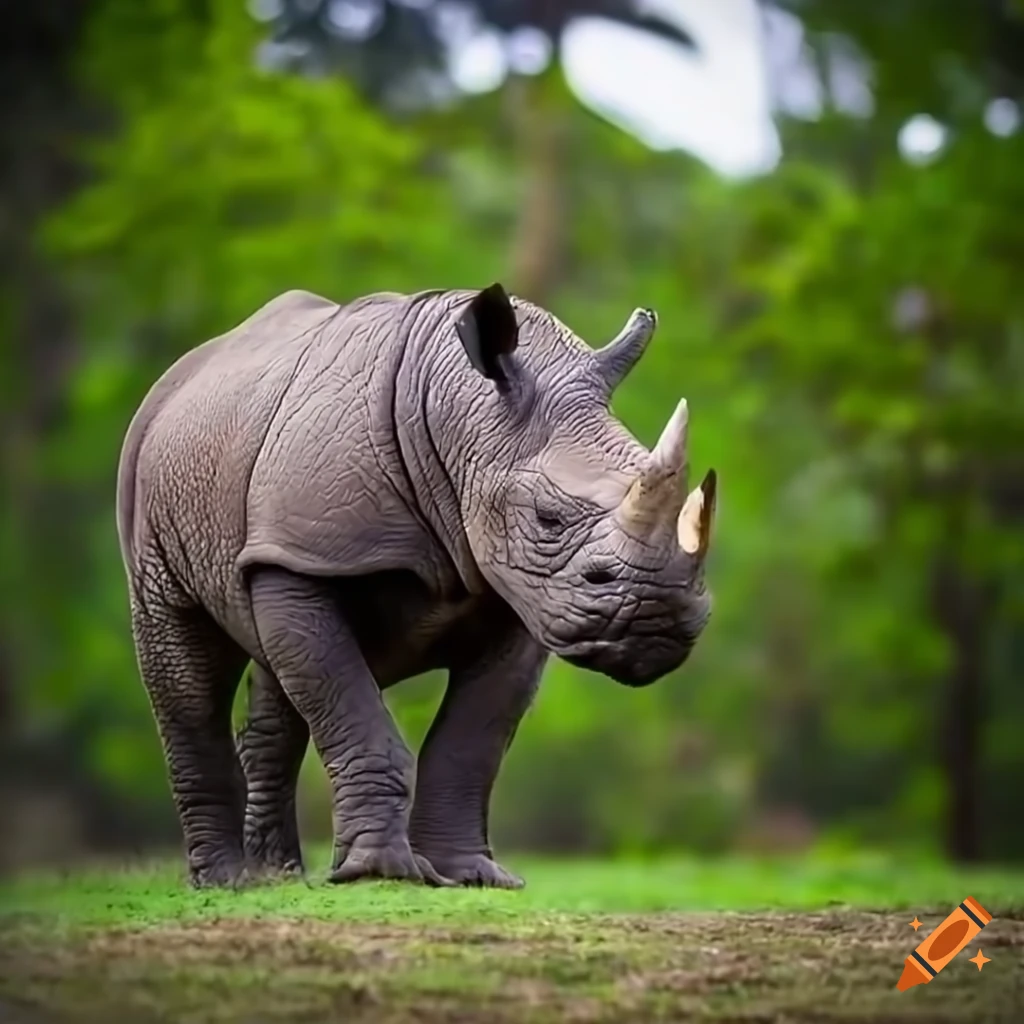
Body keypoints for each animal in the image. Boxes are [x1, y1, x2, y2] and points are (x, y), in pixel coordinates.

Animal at [116, 283, 717, 890]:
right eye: (547, 519)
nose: (655, 623)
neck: (459, 411)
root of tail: (182, 373)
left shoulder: (523, 593)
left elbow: (473, 738)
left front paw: (471, 876)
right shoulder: (304, 553)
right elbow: (350, 706)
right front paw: (380, 873)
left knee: (277, 672)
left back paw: (278, 877)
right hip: (158, 483)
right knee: (188, 664)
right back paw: (226, 881)